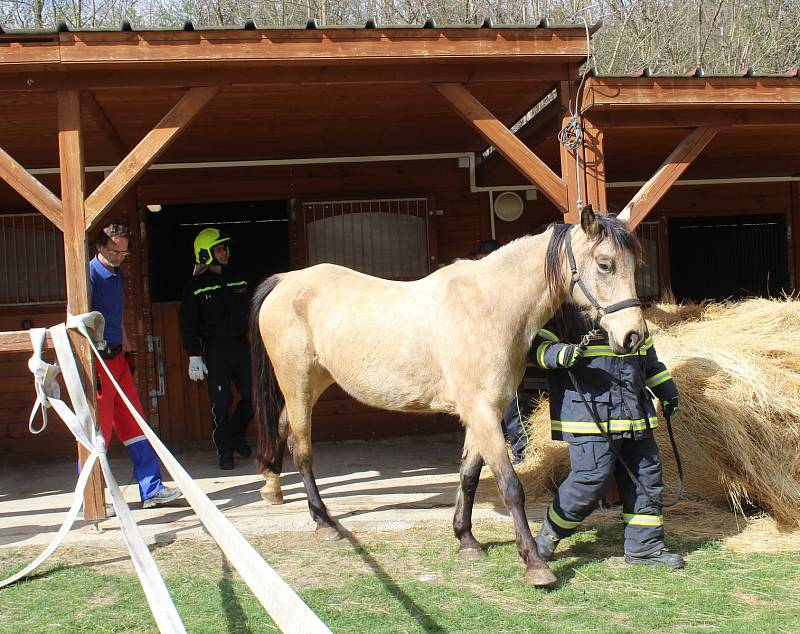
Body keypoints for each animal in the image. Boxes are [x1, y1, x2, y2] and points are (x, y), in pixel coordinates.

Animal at [250, 205, 644, 584]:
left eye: (635, 264)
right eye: (605, 264)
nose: (633, 336)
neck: (489, 307)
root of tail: (285, 280)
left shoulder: (484, 411)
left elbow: (468, 476)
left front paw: (466, 539)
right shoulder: (483, 412)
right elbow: (510, 486)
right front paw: (535, 564)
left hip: (313, 383)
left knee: (284, 430)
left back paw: (272, 487)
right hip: (298, 383)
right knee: (302, 450)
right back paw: (324, 522)